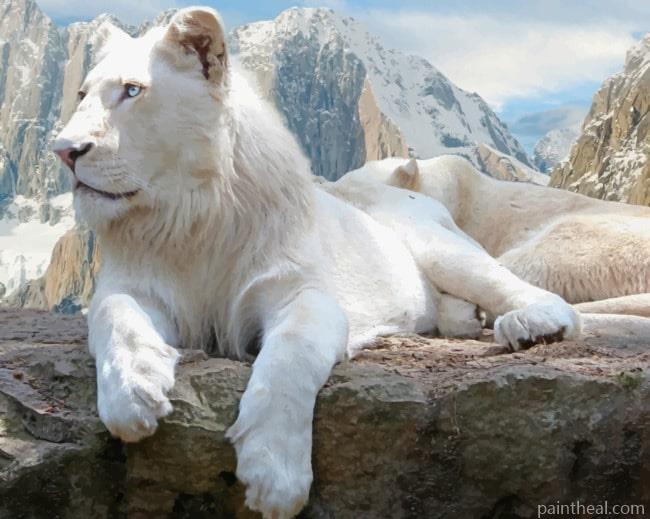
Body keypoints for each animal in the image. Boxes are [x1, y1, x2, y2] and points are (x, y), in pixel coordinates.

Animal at [52, 7, 582, 518]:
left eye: (132, 91)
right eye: (81, 94)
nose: (64, 151)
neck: (189, 215)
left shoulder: (302, 293)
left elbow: (290, 357)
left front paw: (274, 474)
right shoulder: (134, 286)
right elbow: (115, 317)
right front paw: (132, 392)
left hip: (440, 247)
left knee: (525, 291)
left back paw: (531, 325)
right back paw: (462, 319)